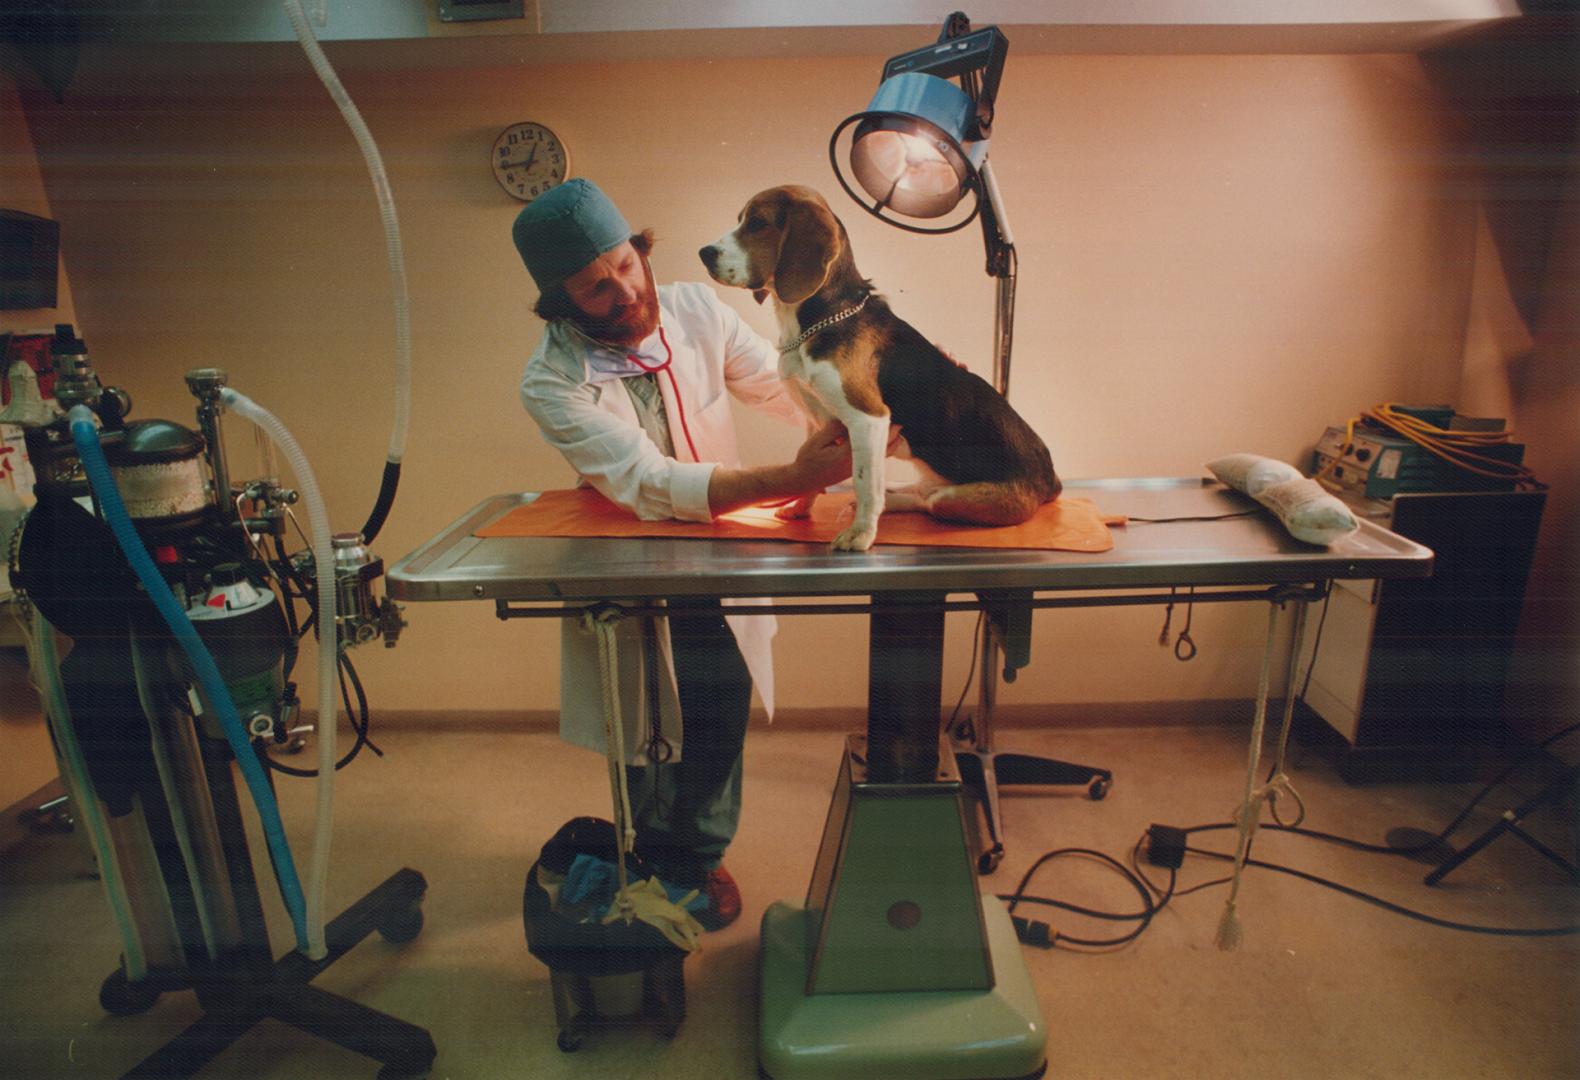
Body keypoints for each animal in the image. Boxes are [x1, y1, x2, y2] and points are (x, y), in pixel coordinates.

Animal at [701, 183, 1061, 549]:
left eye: (757, 223)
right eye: (742, 219)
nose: (704, 253)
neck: (822, 318)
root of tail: (1050, 480)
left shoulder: (868, 417)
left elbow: (864, 483)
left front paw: (860, 534)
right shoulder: (815, 417)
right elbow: (810, 477)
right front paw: (801, 508)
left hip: (959, 498)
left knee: (928, 499)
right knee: (922, 491)